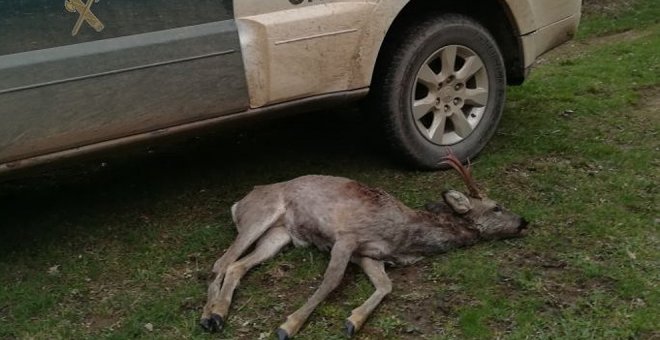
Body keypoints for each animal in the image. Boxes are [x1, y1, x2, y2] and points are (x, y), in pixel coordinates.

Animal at [199, 155, 528, 340]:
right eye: (497, 207)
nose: (524, 221)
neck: (406, 236)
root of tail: (238, 202)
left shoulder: (370, 254)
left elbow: (386, 286)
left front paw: (352, 322)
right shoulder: (347, 237)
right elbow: (331, 281)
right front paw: (288, 326)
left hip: (279, 236)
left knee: (236, 265)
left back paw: (219, 313)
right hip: (260, 215)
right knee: (220, 263)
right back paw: (207, 317)